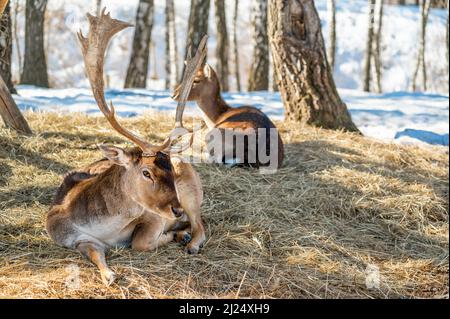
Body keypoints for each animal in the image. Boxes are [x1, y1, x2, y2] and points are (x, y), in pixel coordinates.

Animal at [44, 9, 207, 288]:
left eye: (170, 172)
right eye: (146, 172)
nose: (175, 210)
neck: (105, 230)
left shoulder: (152, 217)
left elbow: (139, 242)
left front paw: (170, 237)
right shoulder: (71, 236)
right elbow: (95, 252)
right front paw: (109, 275)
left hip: (192, 193)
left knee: (201, 223)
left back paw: (189, 241)